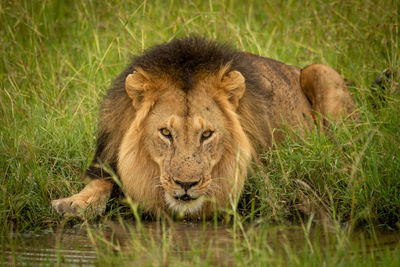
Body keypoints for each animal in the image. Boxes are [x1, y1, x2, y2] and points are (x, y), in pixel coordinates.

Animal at [50, 36, 356, 219]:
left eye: (207, 135)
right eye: (166, 133)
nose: (186, 184)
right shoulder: (106, 161)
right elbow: (99, 184)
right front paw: (74, 203)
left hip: (323, 72)